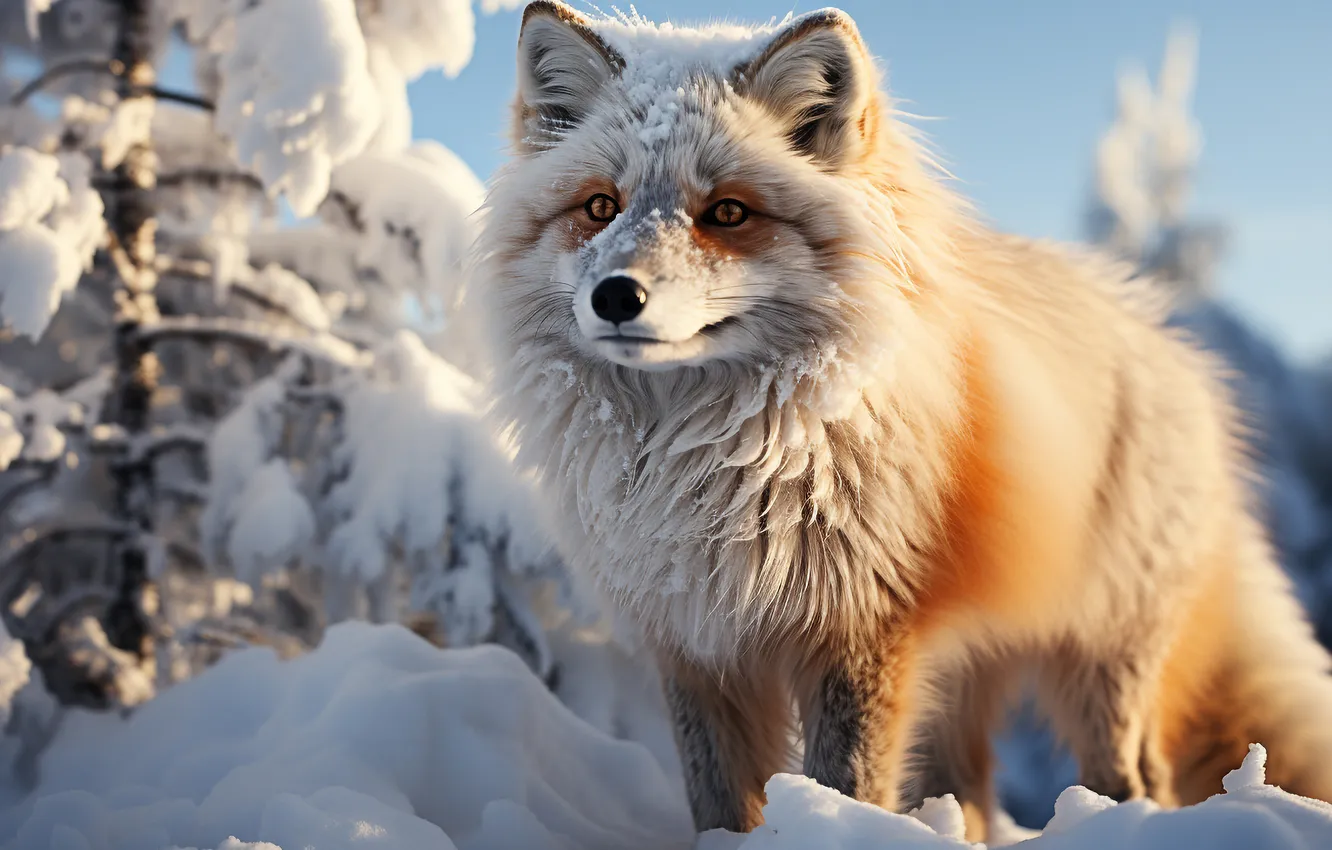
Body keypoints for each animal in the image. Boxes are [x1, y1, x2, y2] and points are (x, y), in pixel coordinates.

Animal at [474, 0, 1332, 840]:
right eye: (600, 207)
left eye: (726, 212)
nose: (616, 296)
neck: (708, 465)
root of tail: (1172, 343)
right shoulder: (697, 644)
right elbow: (718, 809)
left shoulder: (861, 633)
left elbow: (845, 787)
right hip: (960, 681)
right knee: (975, 798)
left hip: (1101, 667)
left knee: (1138, 781)